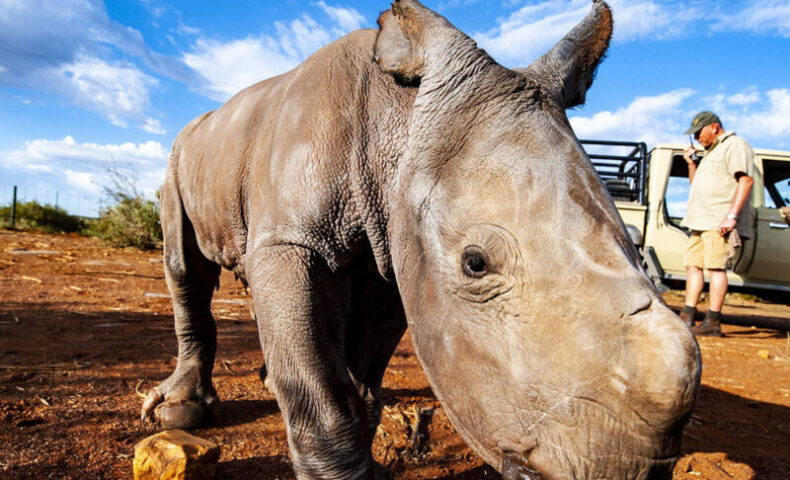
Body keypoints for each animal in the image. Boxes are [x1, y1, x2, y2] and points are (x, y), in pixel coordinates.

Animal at [141, 0, 701, 478]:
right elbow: (322, 388)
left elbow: (361, 370)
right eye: (475, 263)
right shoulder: (295, 241)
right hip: (178, 153)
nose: (637, 470)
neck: (396, 120)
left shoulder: (398, 252)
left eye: (638, 252)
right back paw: (179, 413)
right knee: (185, 268)